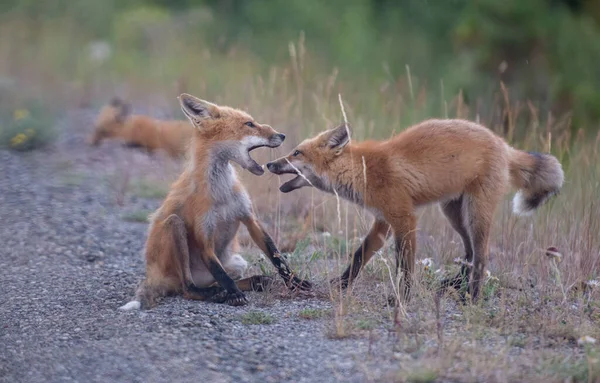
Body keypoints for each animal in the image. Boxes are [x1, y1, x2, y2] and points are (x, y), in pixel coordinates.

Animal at [120, 94, 312, 312]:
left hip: (237, 263)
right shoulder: (204, 233)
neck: (223, 194)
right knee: (189, 288)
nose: (282, 135)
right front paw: (234, 295)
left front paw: (295, 282)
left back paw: (254, 282)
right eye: (249, 124)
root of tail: (153, 275)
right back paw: (216, 293)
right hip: (175, 226)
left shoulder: (249, 217)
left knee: (224, 279)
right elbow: (221, 274)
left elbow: (276, 256)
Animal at [268, 118, 564, 302]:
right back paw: (455, 285)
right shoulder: (383, 221)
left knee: (481, 256)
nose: (270, 164)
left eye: (296, 153)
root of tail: (503, 143)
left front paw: (402, 299)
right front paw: (342, 284)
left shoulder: (404, 218)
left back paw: (471, 297)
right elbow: (359, 255)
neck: (363, 171)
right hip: (453, 213)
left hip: (475, 213)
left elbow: (405, 267)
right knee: (469, 253)